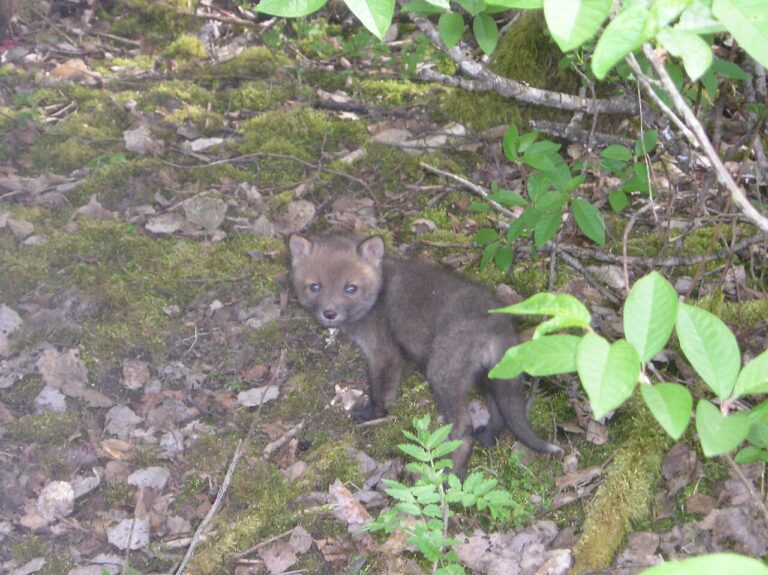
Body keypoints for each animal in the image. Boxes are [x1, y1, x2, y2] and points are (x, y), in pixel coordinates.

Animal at [288, 234, 561, 477]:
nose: (329, 313)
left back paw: (453, 474)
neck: (378, 293)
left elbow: (380, 392)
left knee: (464, 428)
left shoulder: (384, 353)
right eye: (315, 286)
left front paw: (372, 415)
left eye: (351, 288)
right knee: (499, 411)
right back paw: (486, 437)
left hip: (442, 373)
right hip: (489, 374)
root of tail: (499, 322)